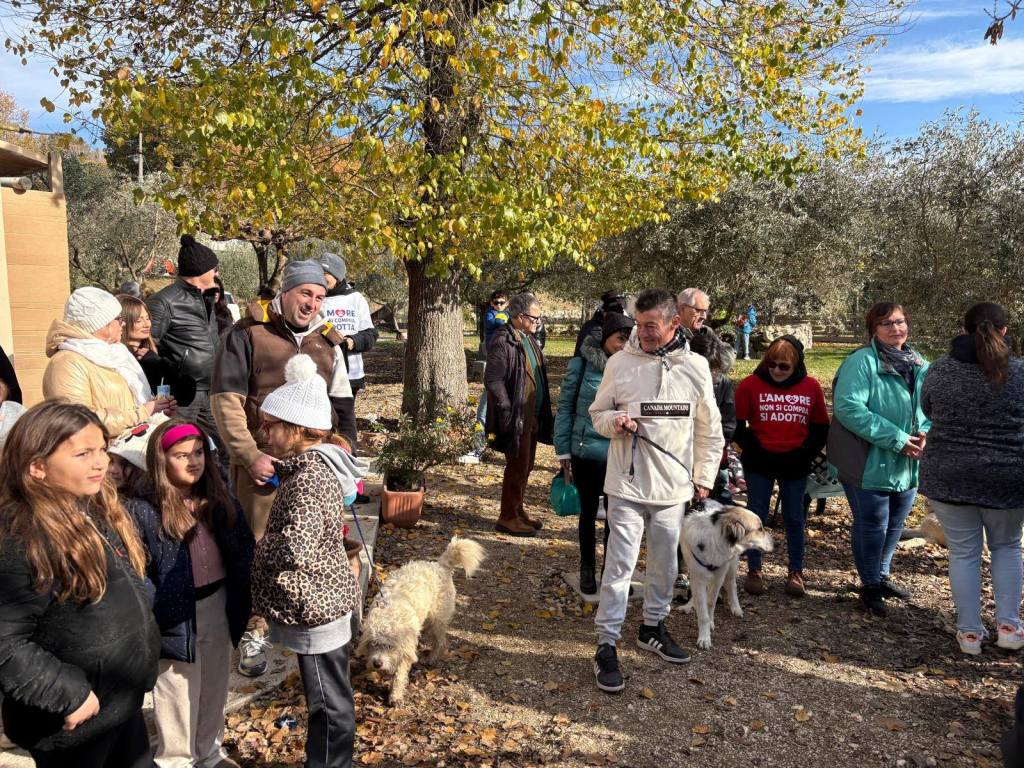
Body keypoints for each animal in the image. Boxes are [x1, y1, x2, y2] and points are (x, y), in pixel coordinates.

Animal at [356, 536, 485, 703]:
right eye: (373, 643)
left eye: (390, 646)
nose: (377, 664)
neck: (390, 613)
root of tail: (440, 565)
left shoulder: (405, 650)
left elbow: (399, 675)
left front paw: (395, 696)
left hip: (437, 620)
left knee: (440, 641)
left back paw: (431, 658)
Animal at [679, 502, 773, 650]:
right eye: (759, 529)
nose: (774, 542)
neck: (715, 538)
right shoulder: (698, 577)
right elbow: (702, 609)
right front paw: (704, 637)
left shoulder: (719, 576)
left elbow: (710, 603)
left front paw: (710, 624)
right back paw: (689, 605)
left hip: (731, 567)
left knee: (731, 586)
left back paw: (736, 608)